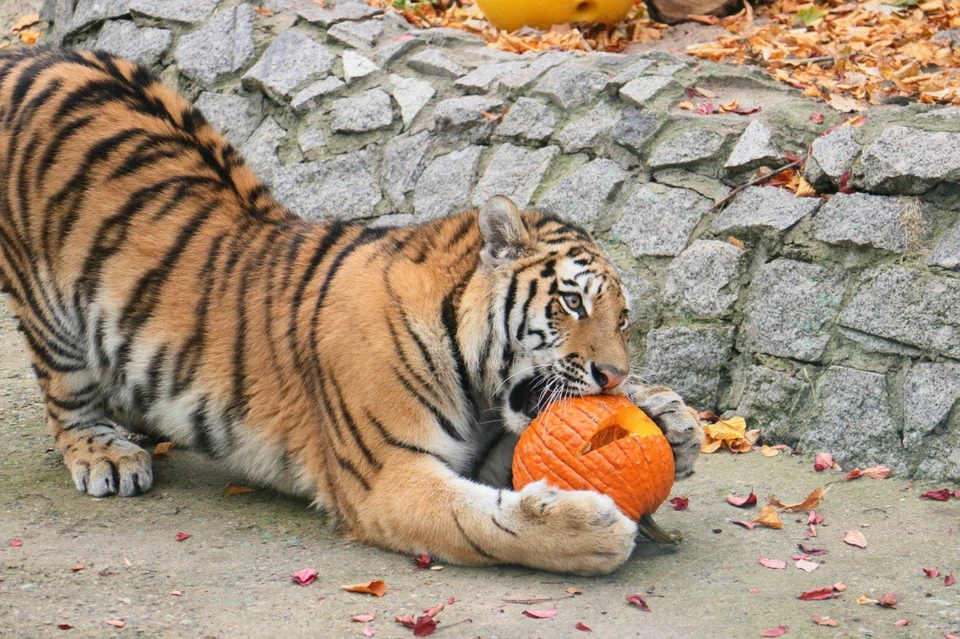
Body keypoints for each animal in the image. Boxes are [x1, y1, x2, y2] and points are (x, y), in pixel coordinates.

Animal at [0, 45, 704, 576]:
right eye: (571, 301)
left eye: (623, 320)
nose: (613, 376)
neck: (467, 362)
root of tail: (37, 53)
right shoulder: (386, 476)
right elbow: (486, 523)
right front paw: (592, 530)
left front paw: (671, 418)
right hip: (52, 312)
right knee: (66, 403)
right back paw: (108, 457)